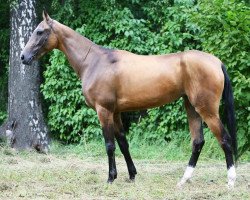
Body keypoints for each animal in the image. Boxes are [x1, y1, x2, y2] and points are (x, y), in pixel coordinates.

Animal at [20, 10, 237, 188]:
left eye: (39, 32)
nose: (23, 57)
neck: (94, 62)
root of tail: (216, 62)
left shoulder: (104, 111)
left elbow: (109, 145)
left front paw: (110, 178)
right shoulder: (115, 112)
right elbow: (123, 143)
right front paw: (132, 175)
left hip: (206, 110)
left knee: (224, 139)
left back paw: (230, 181)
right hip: (191, 106)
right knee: (198, 142)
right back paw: (183, 180)